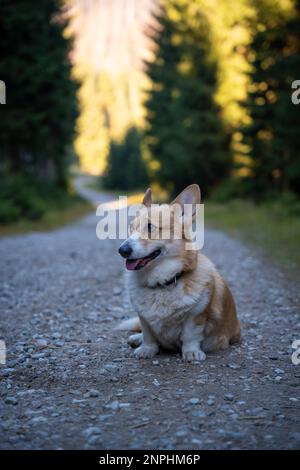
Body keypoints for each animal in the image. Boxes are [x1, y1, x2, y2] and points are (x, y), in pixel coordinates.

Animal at [117, 183, 241, 360]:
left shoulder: (196, 315)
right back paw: (137, 338)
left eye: (150, 227)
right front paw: (146, 349)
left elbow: (190, 335)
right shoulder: (144, 317)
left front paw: (191, 352)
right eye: (131, 227)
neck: (161, 283)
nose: (122, 250)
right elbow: (148, 334)